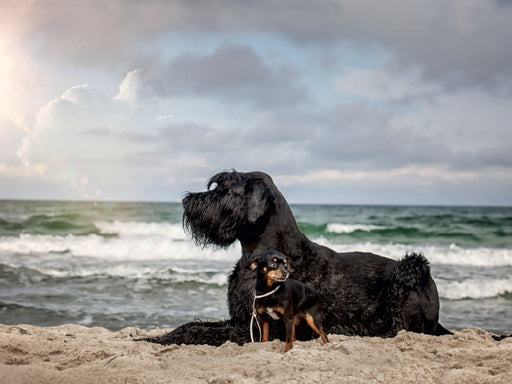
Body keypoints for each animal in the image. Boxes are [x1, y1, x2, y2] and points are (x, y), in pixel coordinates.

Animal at [153, 170, 452, 344]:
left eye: (226, 188)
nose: (187, 200)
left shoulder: (256, 328)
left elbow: (196, 330)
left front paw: (156, 340)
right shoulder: (240, 319)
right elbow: (193, 324)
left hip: (405, 279)